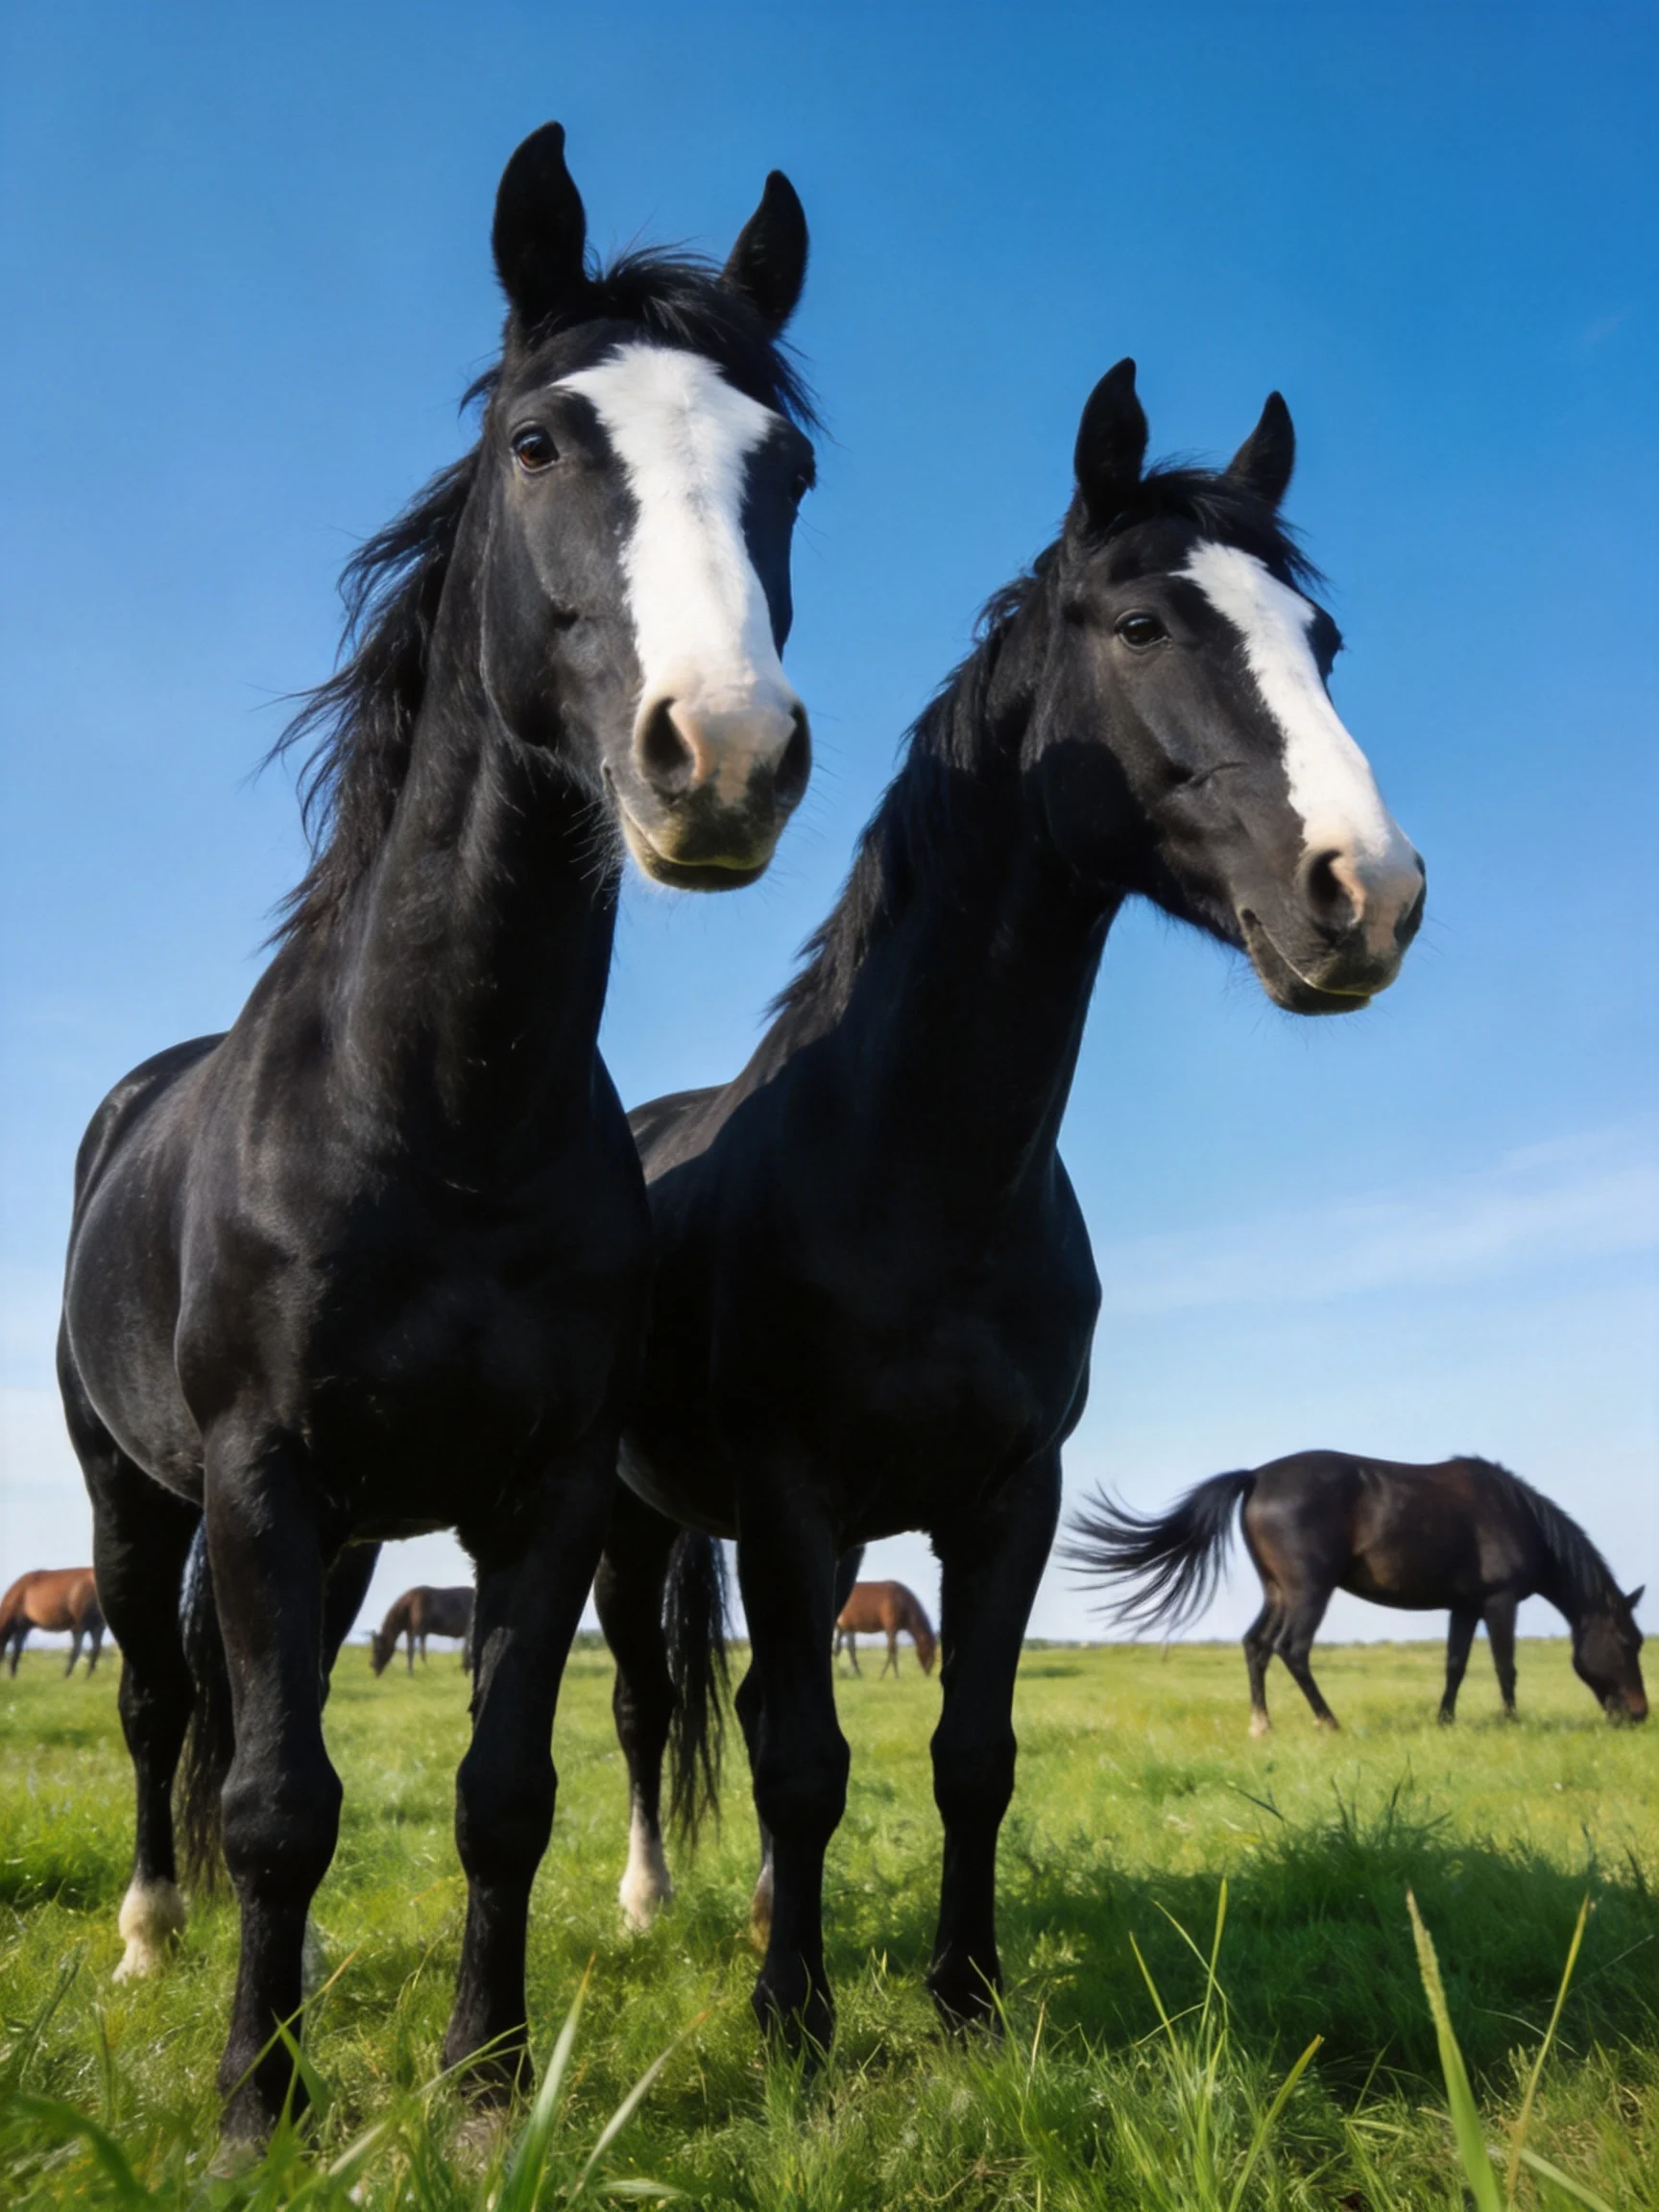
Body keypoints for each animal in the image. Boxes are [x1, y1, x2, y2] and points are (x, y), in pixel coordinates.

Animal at [54, 121, 815, 2141]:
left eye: (784, 469)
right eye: (540, 442)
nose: (721, 755)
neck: (438, 1115)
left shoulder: (540, 1495)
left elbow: (497, 1792)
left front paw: (481, 2083)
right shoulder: (255, 1473)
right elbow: (269, 1796)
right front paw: (256, 2101)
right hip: (139, 1497)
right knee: (166, 1713)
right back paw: (156, 1942)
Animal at [592, 359, 1424, 2052]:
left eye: (1322, 641)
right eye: (1142, 625)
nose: (1369, 895)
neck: (922, 1182)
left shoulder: (1006, 1504)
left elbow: (966, 1755)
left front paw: (965, 2000)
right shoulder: (790, 1503)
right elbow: (802, 1759)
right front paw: (797, 2023)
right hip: (627, 1526)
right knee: (654, 1708)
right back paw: (652, 1907)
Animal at [1066, 1451, 1648, 1732]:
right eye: (1629, 1643)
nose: (1640, 1713)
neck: (1514, 1513)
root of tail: (1255, 1477)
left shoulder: (1462, 1607)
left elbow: (1455, 1665)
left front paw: (1445, 1720)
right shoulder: (1498, 1602)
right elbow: (1506, 1666)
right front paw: (1512, 1722)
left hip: (1278, 1591)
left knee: (1256, 1646)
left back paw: (1262, 1724)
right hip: (1309, 1592)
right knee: (1292, 1650)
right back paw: (1328, 1722)